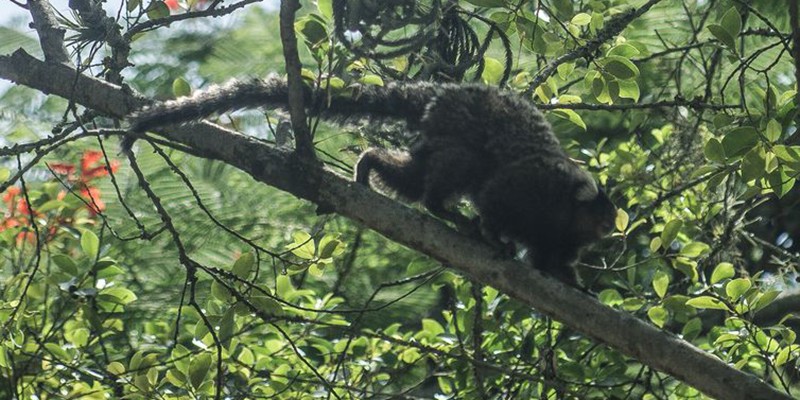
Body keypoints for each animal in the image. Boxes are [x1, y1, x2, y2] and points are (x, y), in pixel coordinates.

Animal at [130, 75, 620, 286]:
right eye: (603, 218)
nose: (611, 231)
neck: (564, 210)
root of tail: (440, 94)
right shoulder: (530, 187)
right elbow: (494, 197)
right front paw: (492, 235)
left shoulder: (559, 238)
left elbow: (551, 259)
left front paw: (572, 284)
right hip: (457, 129)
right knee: (461, 167)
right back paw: (446, 211)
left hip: (432, 136)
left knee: (415, 177)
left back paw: (370, 164)